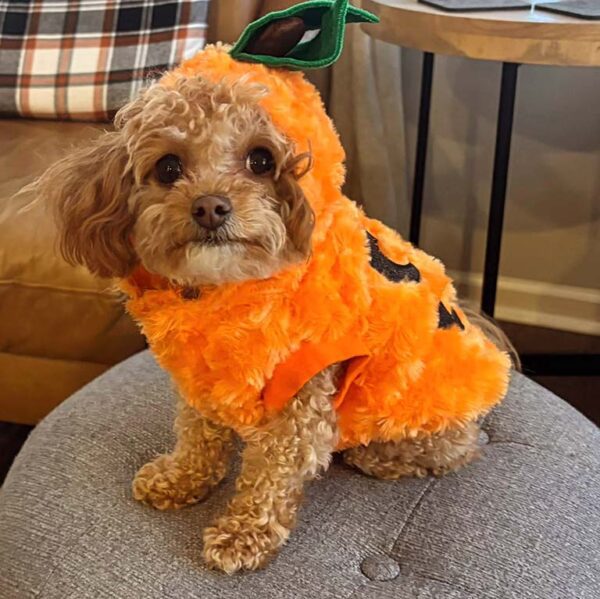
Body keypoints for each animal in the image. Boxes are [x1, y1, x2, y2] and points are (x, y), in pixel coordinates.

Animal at [35, 39, 510, 576]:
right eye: (168, 167)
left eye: (261, 160)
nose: (210, 207)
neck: (226, 290)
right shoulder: (204, 376)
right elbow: (198, 435)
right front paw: (180, 478)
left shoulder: (301, 395)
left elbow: (272, 474)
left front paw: (244, 535)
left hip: (417, 417)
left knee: (450, 451)